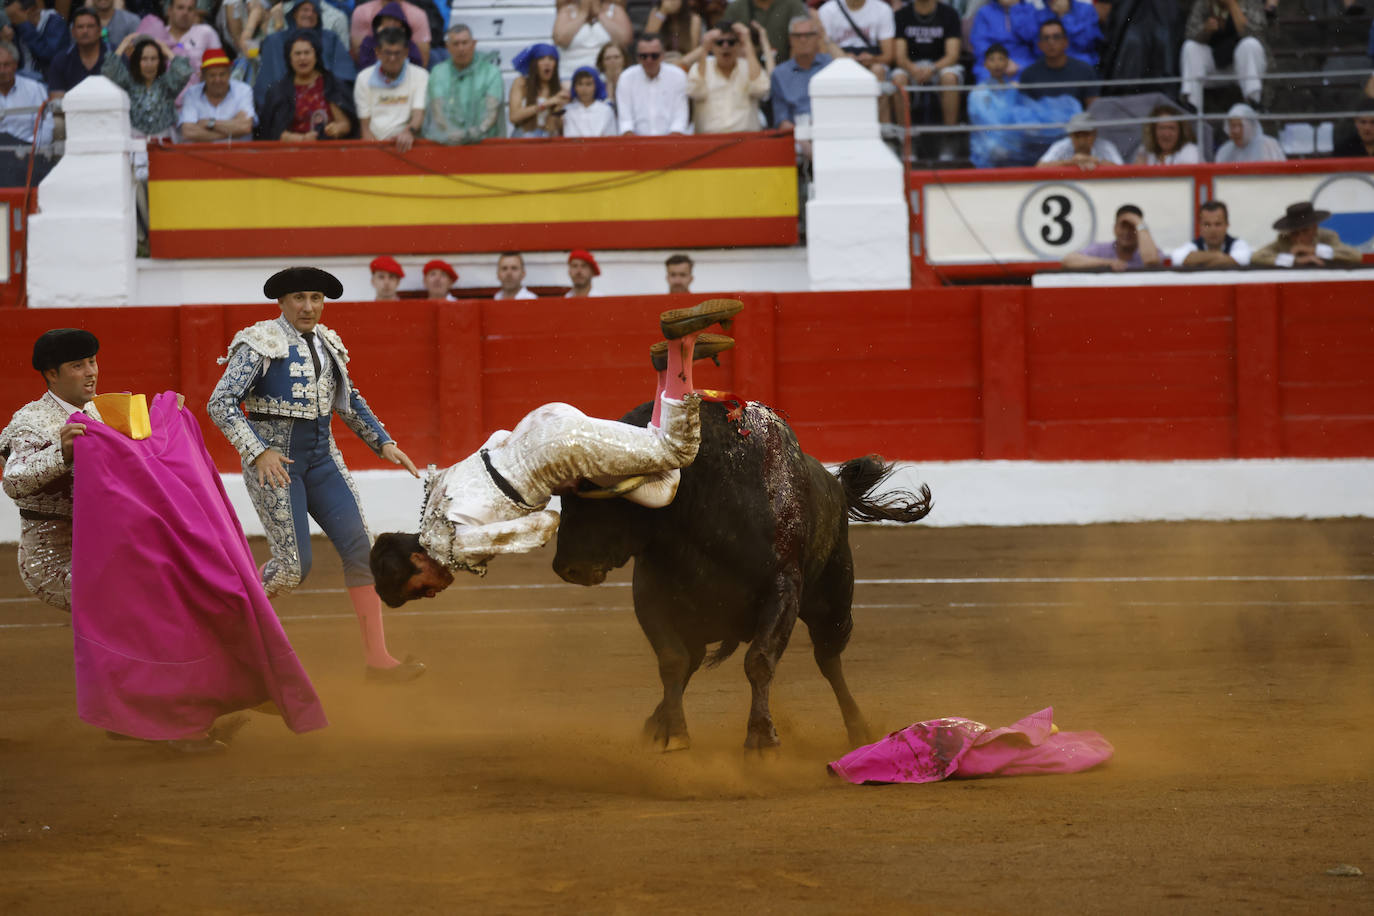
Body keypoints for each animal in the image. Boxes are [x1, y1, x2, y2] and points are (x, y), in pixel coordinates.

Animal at [549, 401, 934, 752]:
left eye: (607, 500)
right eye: (565, 501)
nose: (568, 566)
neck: (703, 504)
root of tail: (834, 485)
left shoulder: (783, 590)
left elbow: (759, 661)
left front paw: (762, 739)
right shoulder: (650, 594)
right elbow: (672, 662)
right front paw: (673, 734)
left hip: (834, 603)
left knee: (829, 660)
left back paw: (859, 731)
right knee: (691, 661)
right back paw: (655, 724)